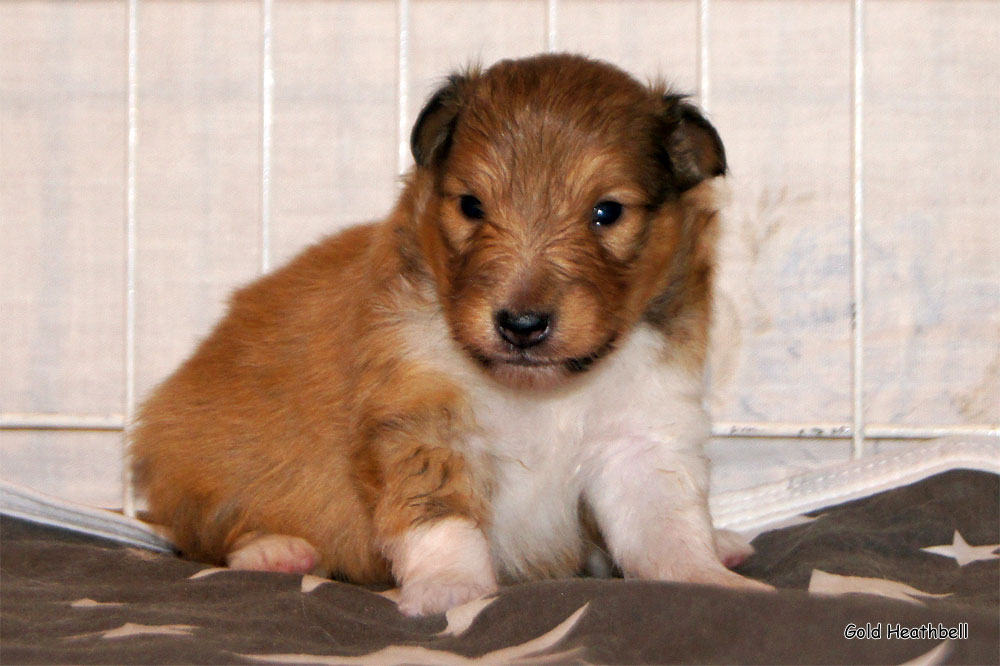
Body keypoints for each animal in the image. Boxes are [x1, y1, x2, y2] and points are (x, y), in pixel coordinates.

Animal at [133, 54, 768, 616]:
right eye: (471, 205)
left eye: (607, 211)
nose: (521, 325)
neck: (539, 393)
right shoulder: (422, 420)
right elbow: (440, 520)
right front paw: (449, 591)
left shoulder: (641, 435)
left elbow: (666, 528)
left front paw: (710, 579)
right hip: (205, 459)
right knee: (208, 532)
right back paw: (277, 551)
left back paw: (724, 545)